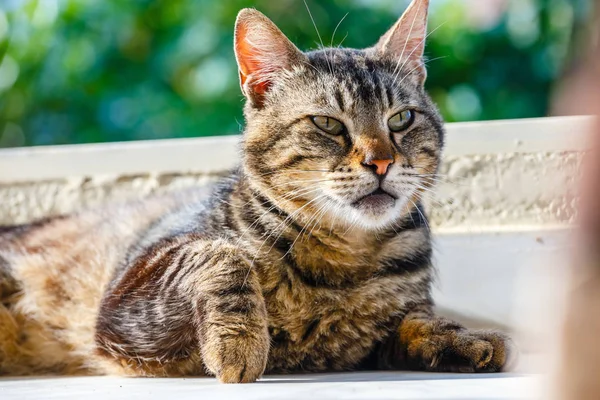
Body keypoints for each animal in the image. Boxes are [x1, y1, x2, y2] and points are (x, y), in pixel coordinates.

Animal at [0, 0, 512, 382]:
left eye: (401, 119)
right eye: (328, 124)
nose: (382, 161)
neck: (343, 267)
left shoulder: (376, 336)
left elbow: (417, 320)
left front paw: (462, 336)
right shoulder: (125, 310)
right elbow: (220, 254)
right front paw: (239, 342)